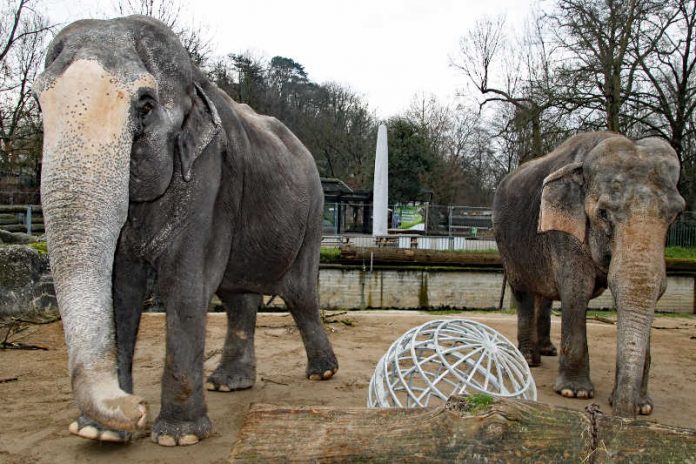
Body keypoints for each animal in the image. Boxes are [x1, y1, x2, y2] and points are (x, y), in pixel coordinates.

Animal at [34, 16, 338, 446]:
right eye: (38, 103)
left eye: (145, 105)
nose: (136, 408)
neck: (195, 81)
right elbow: (120, 289)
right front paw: (100, 433)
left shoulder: (210, 176)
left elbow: (184, 282)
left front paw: (177, 437)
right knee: (238, 296)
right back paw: (228, 383)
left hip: (312, 214)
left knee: (299, 293)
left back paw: (322, 373)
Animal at [494, 130, 684, 416]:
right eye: (602, 213)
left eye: (675, 215)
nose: (623, 413)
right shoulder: (566, 232)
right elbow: (576, 290)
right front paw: (575, 392)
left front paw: (643, 406)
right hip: (508, 246)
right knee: (524, 292)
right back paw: (530, 358)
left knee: (545, 294)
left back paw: (547, 351)